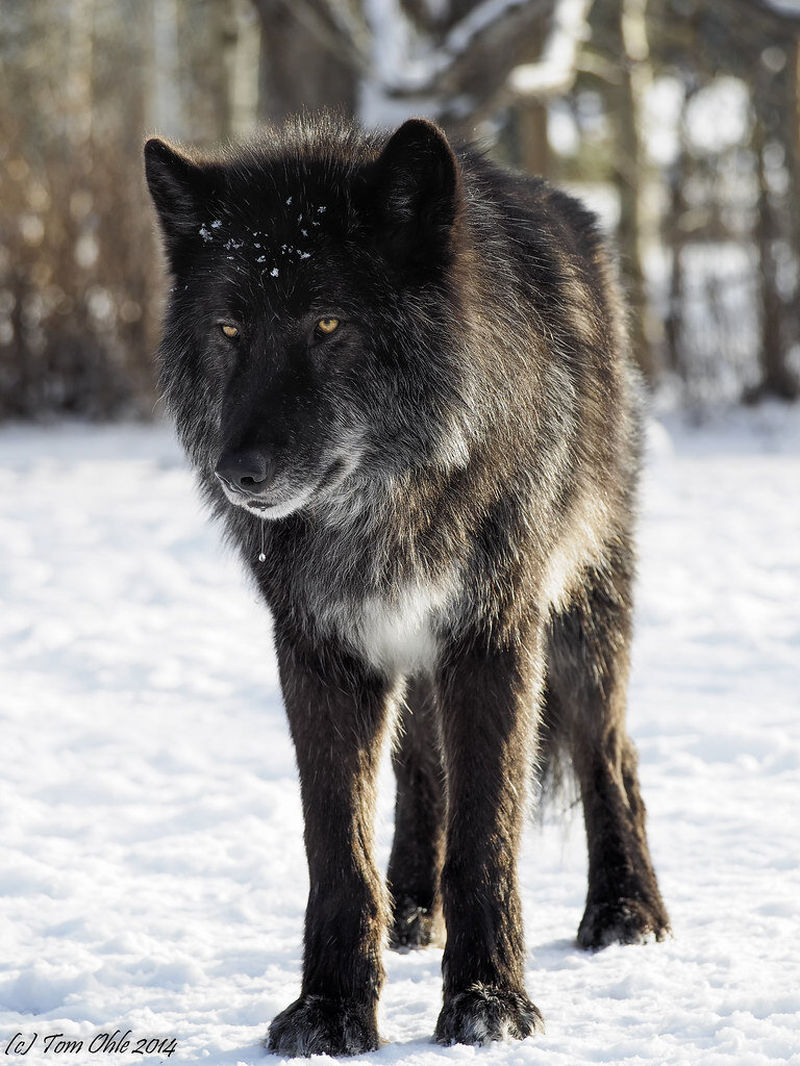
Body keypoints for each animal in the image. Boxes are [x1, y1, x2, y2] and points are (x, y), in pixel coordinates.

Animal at [144, 118, 669, 1057]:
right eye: (230, 328)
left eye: (327, 322)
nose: (240, 472)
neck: (387, 503)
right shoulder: (322, 651)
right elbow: (336, 852)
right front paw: (330, 1008)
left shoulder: (494, 637)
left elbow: (486, 837)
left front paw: (490, 1002)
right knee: (422, 765)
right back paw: (413, 908)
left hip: (581, 621)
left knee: (611, 751)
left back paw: (625, 910)